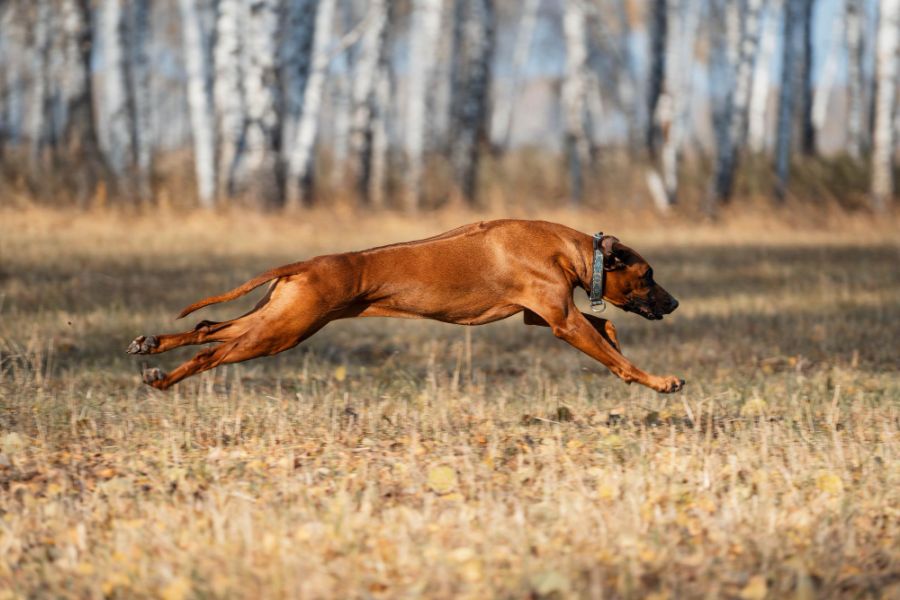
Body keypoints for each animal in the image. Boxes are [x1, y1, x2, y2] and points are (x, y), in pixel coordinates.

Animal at [128, 220, 684, 394]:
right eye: (649, 275)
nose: (675, 302)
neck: (570, 247)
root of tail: (305, 263)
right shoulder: (560, 321)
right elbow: (609, 348)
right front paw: (658, 380)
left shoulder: (541, 314)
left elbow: (607, 333)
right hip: (283, 331)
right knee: (211, 352)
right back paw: (163, 377)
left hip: (279, 316)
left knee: (207, 327)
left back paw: (151, 344)